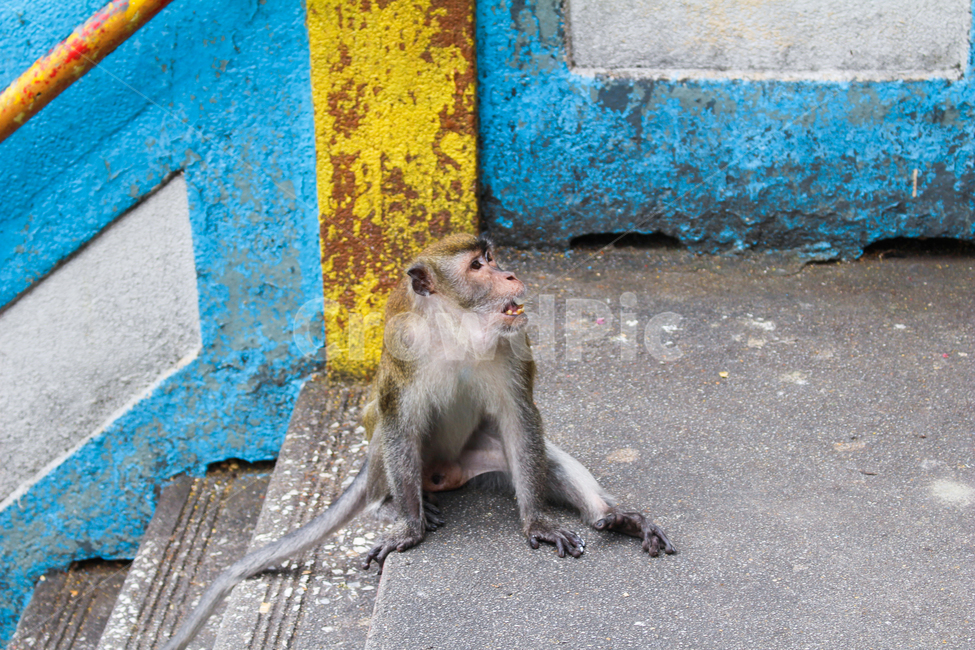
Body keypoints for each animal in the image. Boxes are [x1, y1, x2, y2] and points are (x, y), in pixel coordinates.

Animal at [161, 233, 674, 650]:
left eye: (492, 257)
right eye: (477, 266)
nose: (508, 273)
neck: (458, 329)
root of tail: (447, 473)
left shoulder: (511, 344)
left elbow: (519, 420)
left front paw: (537, 523)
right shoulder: (404, 348)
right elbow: (399, 423)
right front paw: (409, 528)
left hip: (479, 459)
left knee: (541, 456)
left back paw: (612, 517)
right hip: (396, 461)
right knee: (383, 433)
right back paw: (391, 504)